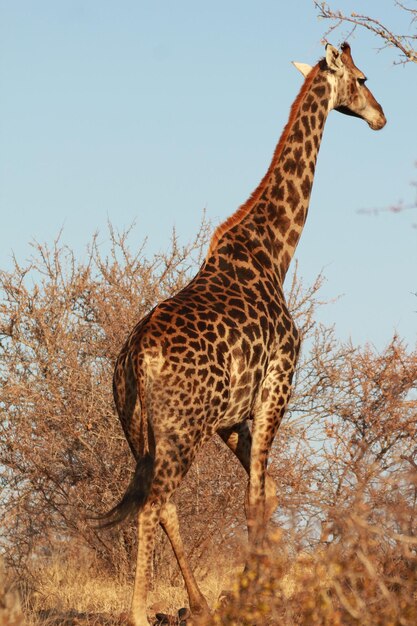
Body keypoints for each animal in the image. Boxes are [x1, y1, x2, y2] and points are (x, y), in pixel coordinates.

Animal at [101, 41, 384, 620]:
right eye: (363, 78)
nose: (380, 117)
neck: (274, 251)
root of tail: (136, 358)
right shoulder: (278, 386)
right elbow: (255, 496)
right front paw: (258, 591)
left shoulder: (231, 416)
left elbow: (267, 494)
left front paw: (258, 585)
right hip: (181, 428)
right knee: (155, 504)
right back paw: (141, 612)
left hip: (139, 429)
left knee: (161, 503)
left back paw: (200, 605)